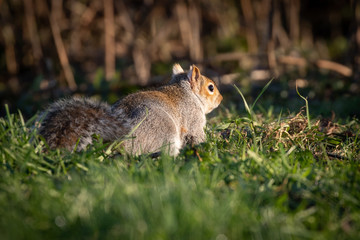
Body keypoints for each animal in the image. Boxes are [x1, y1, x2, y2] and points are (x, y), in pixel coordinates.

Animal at [36, 64, 222, 156]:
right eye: (211, 88)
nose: (221, 99)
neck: (188, 93)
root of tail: (119, 141)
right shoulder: (193, 118)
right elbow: (197, 135)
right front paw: (209, 142)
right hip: (165, 131)